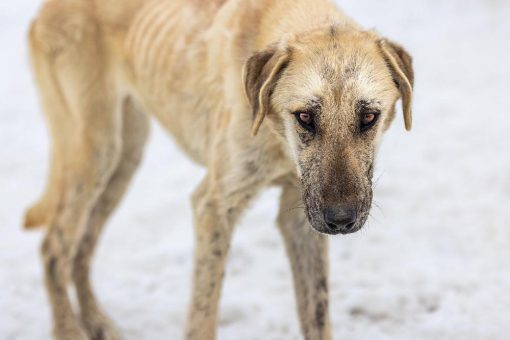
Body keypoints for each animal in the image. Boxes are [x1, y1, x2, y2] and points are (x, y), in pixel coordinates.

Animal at [24, 0, 414, 338]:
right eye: (305, 116)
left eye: (368, 117)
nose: (341, 220)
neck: (276, 137)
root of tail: (44, 9)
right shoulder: (213, 206)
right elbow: (203, 317)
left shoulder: (301, 216)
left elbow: (316, 315)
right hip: (95, 153)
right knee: (54, 249)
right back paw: (69, 330)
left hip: (124, 159)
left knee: (81, 249)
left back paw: (96, 322)